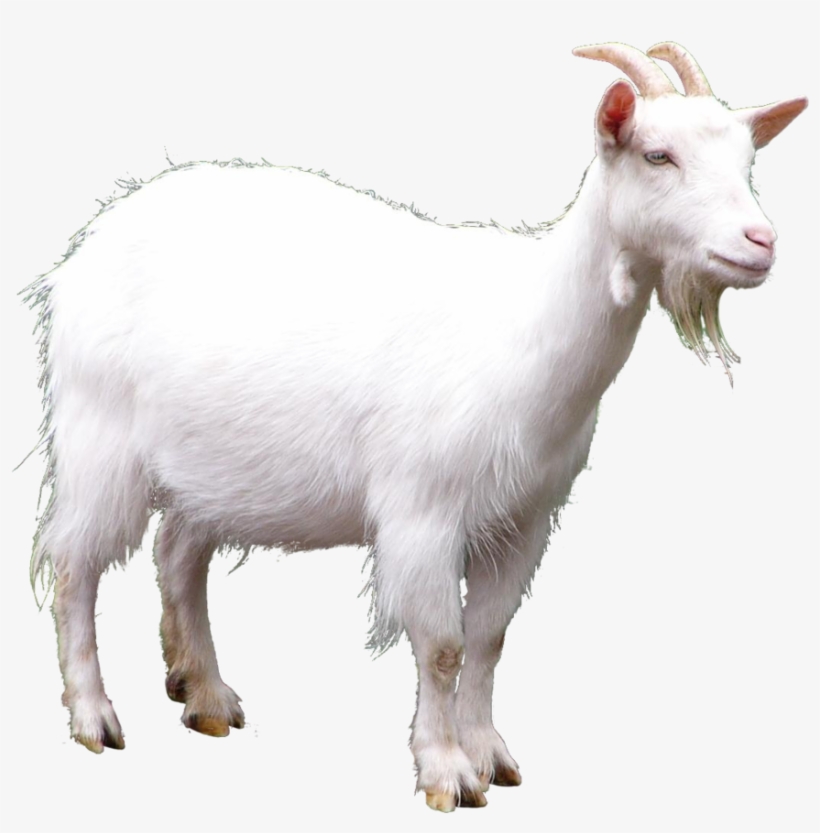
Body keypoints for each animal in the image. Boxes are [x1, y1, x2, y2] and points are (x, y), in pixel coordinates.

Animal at [25, 41, 806, 812]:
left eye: (747, 161)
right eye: (656, 155)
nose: (761, 242)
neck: (526, 324)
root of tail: (93, 239)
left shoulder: (524, 517)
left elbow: (489, 638)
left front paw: (491, 755)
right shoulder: (424, 509)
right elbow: (442, 645)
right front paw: (445, 772)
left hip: (210, 465)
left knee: (178, 556)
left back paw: (207, 696)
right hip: (99, 435)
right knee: (74, 565)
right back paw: (94, 716)